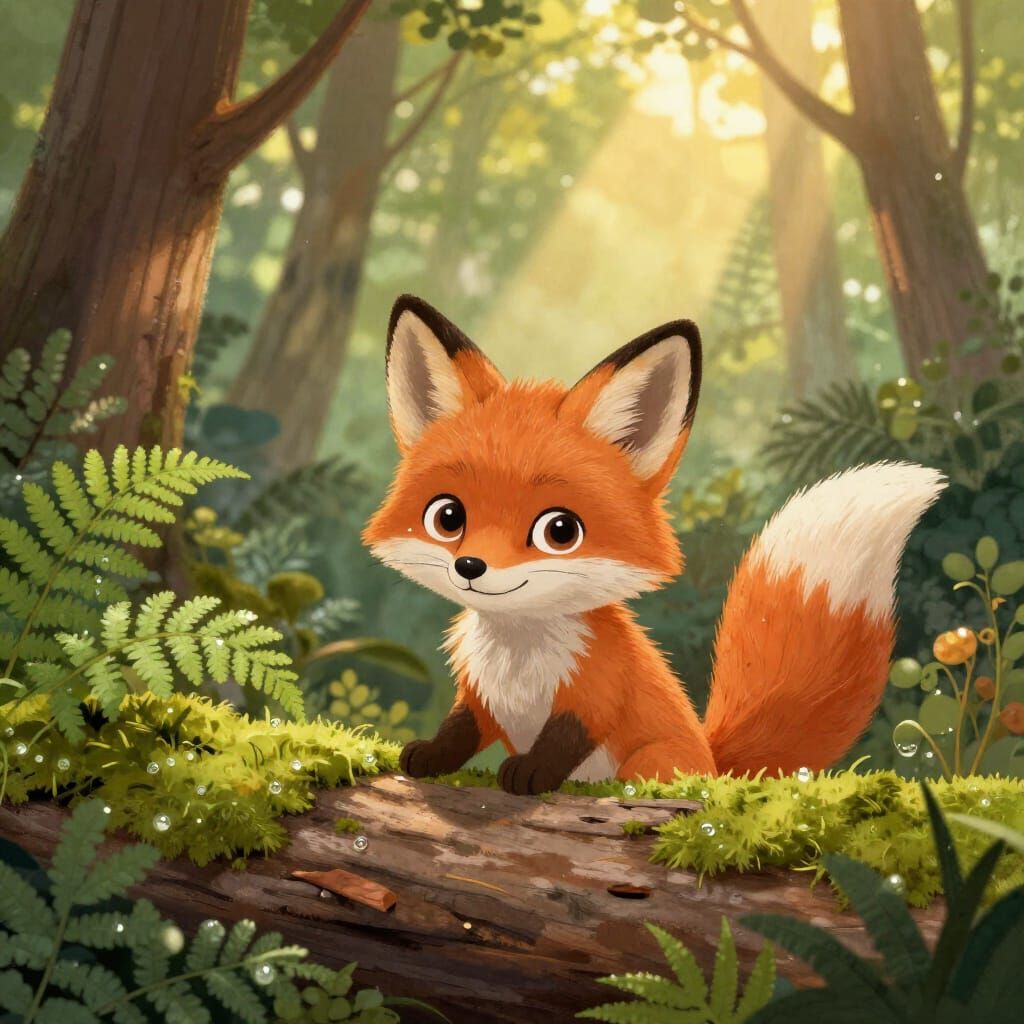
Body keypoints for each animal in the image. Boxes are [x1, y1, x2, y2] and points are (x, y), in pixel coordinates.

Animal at [363, 294, 946, 795]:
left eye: (559, 531)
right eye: (448, 517)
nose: (470, 566)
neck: (518, 656)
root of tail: (713, 760)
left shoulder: (596, 689)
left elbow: (564, 740)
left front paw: (529, 774)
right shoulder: (480, 694)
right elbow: (460, 730)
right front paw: (429, 755)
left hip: (651, 761)